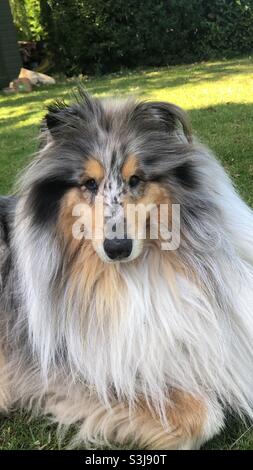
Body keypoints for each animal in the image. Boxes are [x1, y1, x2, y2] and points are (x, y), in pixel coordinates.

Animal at [0, 90, 253, 450]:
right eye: (89, 183)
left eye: (136, 179)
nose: (117, 248)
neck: (129, 275)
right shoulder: (68, 371)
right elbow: (205, 415)